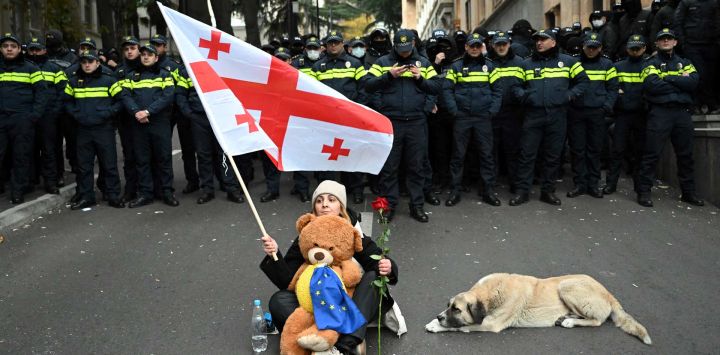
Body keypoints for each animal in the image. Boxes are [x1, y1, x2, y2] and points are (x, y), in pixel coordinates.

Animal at [424, 274, 656, 346]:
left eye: (456, 309)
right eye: (448, 305)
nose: (439, 316)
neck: (491, 292)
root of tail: (608, 293)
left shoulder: (490, 324)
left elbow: (459, 327)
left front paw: (436, 326)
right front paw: (435, 321)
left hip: (567, 285)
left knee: (597, 321)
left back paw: (570, 321)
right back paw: (567, 316)